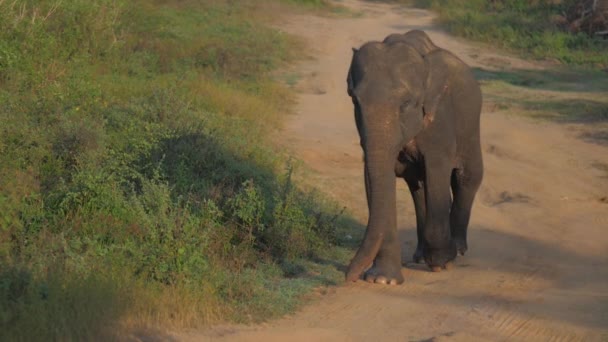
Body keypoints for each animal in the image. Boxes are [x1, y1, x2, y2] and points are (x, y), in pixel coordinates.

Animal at [344, 30, 482, 284]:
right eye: (355, 101)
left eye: (406, 103)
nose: (350, 277)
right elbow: (376, 177)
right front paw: (383, 279)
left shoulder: (439, 120)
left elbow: (437, 171)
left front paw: (441, 263)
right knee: (417, 186)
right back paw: (420, 255)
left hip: (471, 124)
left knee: (467, 177)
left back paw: (457, 250)